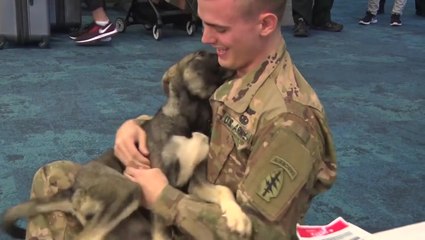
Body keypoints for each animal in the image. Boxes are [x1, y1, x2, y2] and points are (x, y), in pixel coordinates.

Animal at [0, 50, 250, 240]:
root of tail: (72, 190)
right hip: (127, 190)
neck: (190, 122)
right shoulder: (161, 181)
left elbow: (224, 189)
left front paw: (239, 218)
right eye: (200, 54)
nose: (227, 59)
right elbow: (163, 233)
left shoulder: (195, 182)